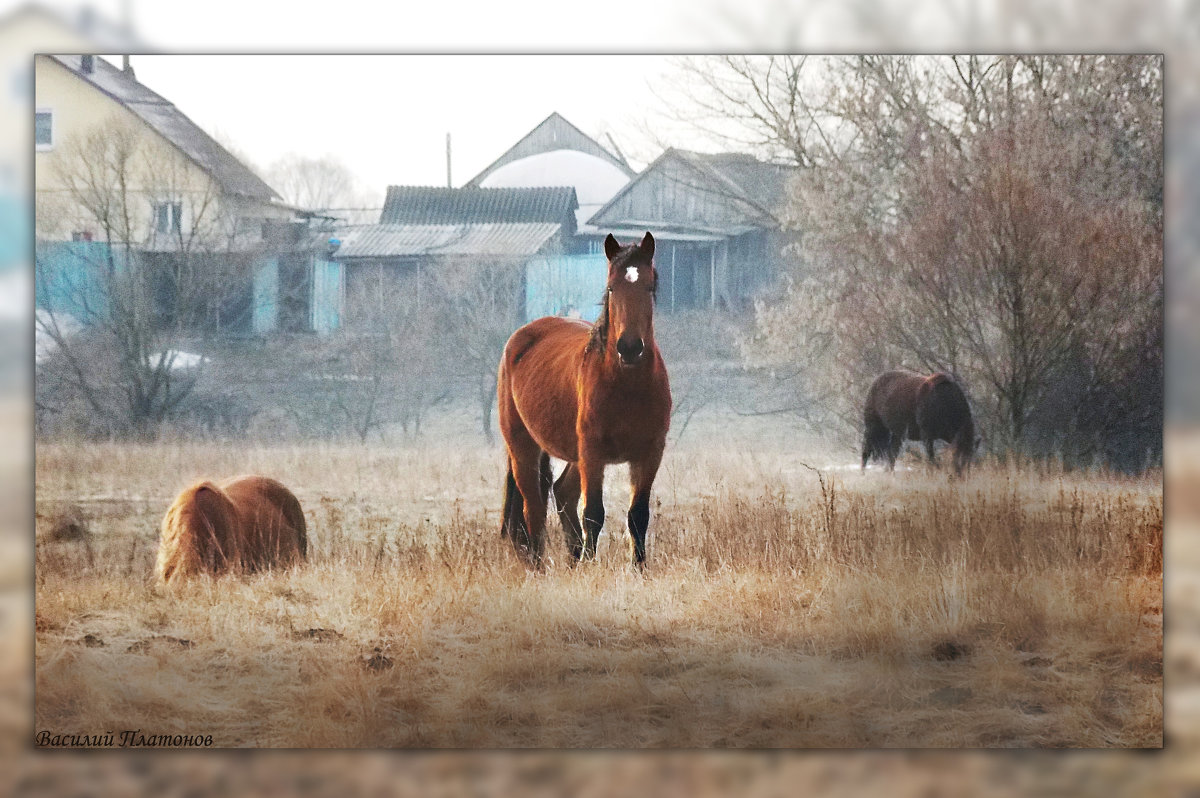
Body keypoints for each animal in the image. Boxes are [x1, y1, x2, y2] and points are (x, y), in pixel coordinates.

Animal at [492, 230, 672, 566]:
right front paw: (592, 567)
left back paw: (575, 557)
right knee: (533, 510)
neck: (627, 386)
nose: (630, 347)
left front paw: (639, 568)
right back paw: (540, 566)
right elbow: (594, 514)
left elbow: (638, 515)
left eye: (649, 287)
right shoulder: (593, 452)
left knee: (563, 493)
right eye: (612, 287)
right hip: (525, 447)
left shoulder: (650, 453)